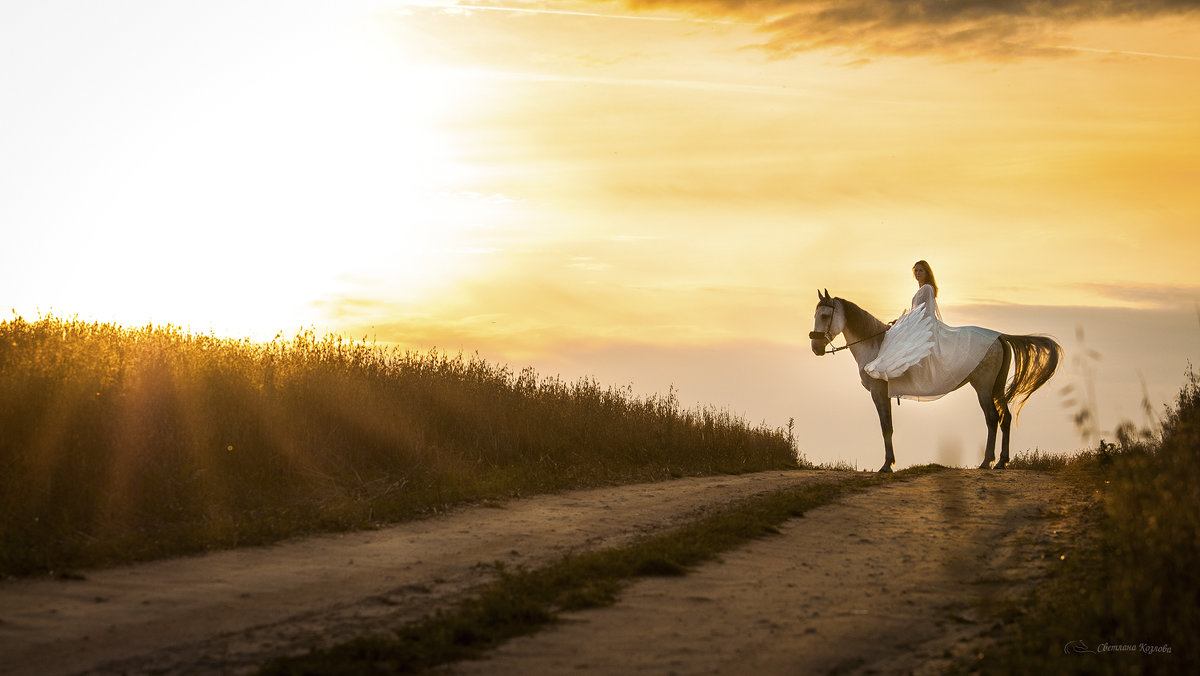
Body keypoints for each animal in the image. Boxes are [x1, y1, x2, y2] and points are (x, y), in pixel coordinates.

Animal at [816, 290, 1060, 475]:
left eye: (825, 315)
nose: (815, 347)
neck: (875, 345)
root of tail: (999, 336)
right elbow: (889, 427)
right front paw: (889, 463)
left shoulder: (878, 393)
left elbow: (886, 428)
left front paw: (887, 465)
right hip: (997, 387)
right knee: (1005, 418)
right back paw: (1001, 462)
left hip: (983, 387)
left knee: (992, 418)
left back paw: (986, 462)